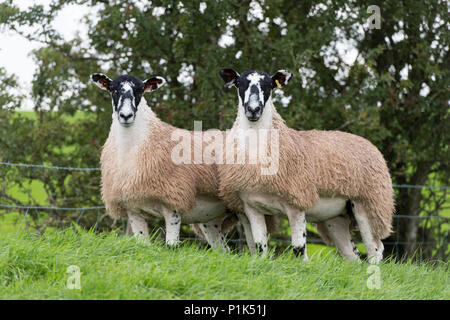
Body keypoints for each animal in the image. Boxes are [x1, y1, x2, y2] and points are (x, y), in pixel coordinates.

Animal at [91, 74, 237, 249]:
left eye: (140, 91)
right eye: (113, 90)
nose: (126, 116)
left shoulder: (174, 201)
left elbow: (171, 246)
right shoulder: (132, 209)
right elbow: (142, 244)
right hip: (210, 220)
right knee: (223, 250)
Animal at [217, 69, 394, 264]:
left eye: (269, 85)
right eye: (239, 84)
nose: (253, 109)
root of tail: (369, 144)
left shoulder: (297, 202)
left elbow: (298, 249)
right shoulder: (251, 207)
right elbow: (260, 247)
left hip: (369, 204)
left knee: (375, 249)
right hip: (336, 218)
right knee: (353, 256)